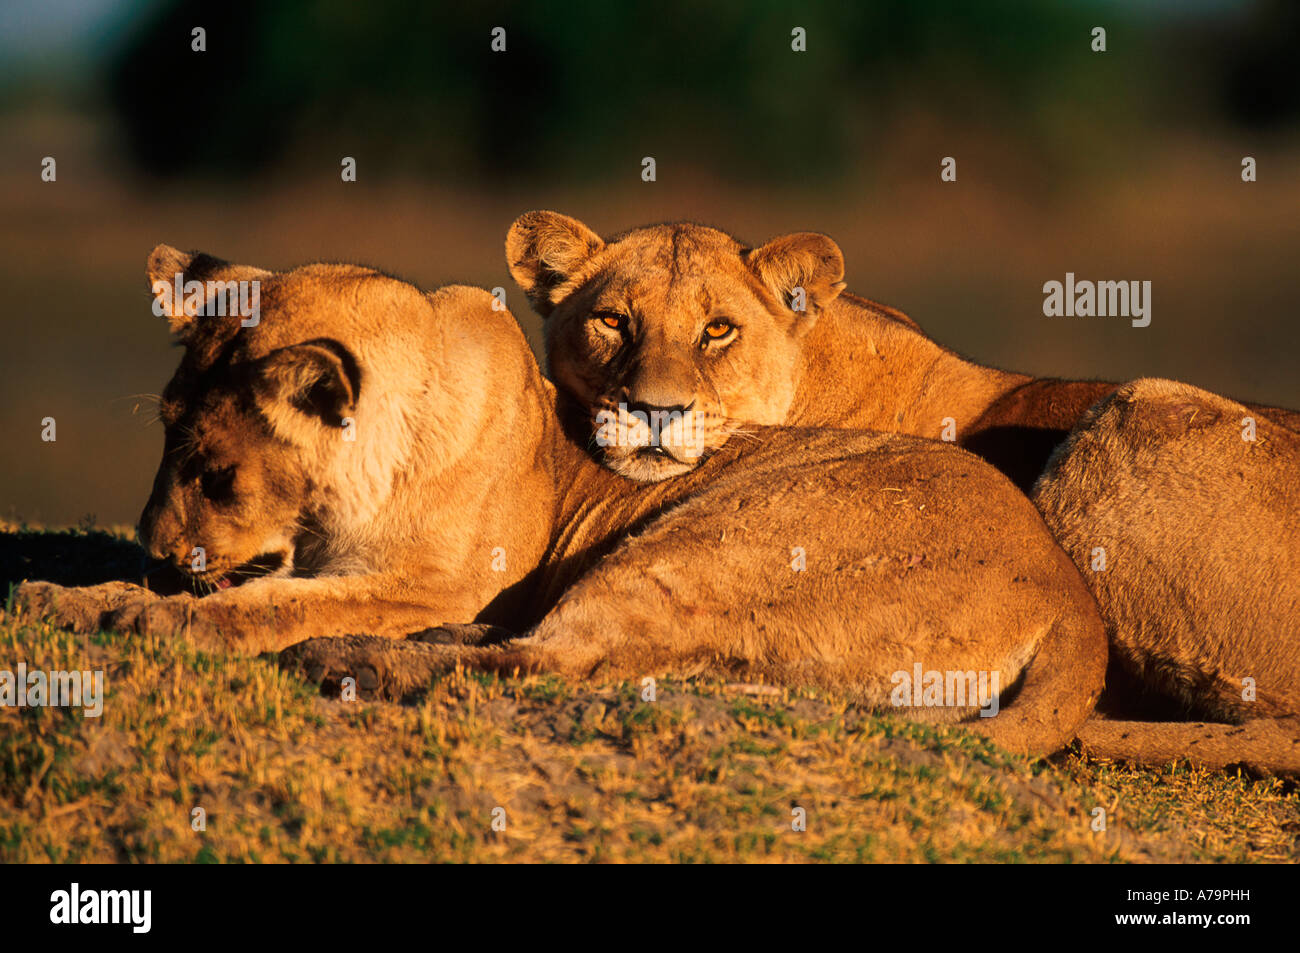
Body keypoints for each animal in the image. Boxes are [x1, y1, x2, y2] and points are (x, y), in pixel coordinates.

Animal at [14, 245, 1113, 760]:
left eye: (218, 474)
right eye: (163, 436)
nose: (155, 546)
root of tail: (1073, 595)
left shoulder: (424, 581)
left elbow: (260, 605)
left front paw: (119, 610)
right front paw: (89, 592)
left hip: (703, 544)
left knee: (559, 660)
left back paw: (344, 662)